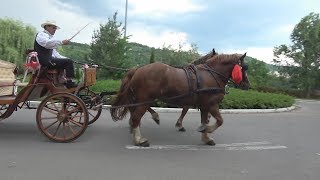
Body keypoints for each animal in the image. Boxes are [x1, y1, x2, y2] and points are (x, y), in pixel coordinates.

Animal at [110, 52, 250, 147]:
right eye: (244, 67)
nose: (247, 85)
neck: (211, 75)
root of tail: (138, 69)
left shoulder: (204, 105)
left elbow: (204, 119)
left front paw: (206, 136)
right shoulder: (212, 104)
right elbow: (220, 121)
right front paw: (207, 130)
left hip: (139, 99)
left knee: (134, 113)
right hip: (145, 99)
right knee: (135, 117)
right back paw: (139, 139)